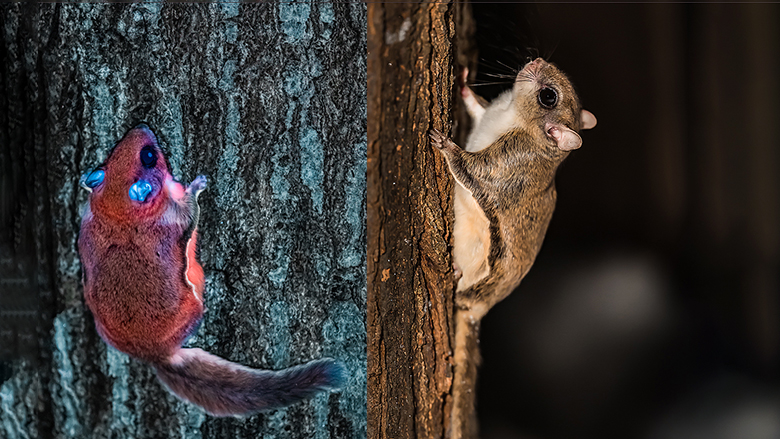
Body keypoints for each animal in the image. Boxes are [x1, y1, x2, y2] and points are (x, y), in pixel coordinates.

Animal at [426, 59, 596, 439]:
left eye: (549, 96)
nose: (536, 62)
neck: (512, 115)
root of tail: (478, 310)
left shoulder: (503, 167)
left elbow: (467, 167)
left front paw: (445, 145)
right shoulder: (487, 115)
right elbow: (476, 107)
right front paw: (463, 84)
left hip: (480, 268)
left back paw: (455, 276)